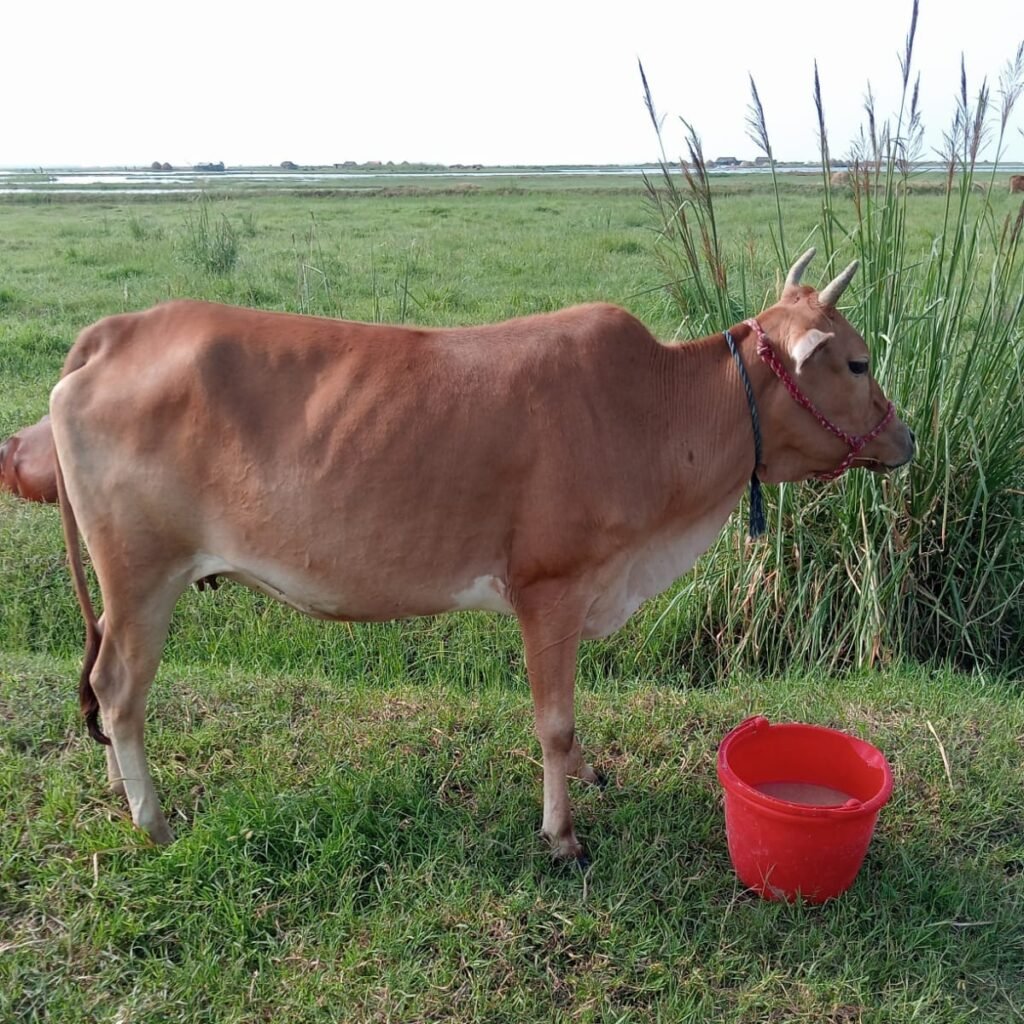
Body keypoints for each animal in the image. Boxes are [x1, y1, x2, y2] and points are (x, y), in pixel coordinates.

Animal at [49, 249, 914, 861]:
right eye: (858, 361)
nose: (905, 437)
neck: (655, 411)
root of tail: (119, 330)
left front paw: (590, 775)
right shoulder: (550, 590)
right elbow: (554, 722)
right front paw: (563, 836)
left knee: (106, 689)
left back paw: (119, 788)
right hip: (141, 574)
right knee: (121, 690)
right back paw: (153, 822)